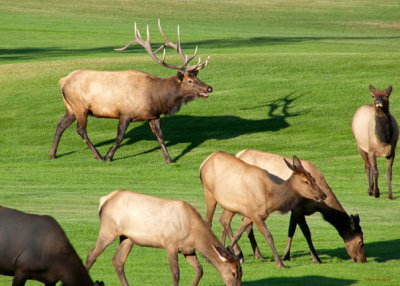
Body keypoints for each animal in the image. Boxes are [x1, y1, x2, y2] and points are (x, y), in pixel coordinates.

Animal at [49, 19, 212, 163]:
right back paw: (99, 156)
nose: (209, 88)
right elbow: (120, 137)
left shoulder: (153, 116)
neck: (155, 98)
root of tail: (63, 81)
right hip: (80, 106)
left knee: (60, 125)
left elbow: (161, 137)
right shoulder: (125, 113)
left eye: (197, 77)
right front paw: (109, 157)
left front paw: (169, 159)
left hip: (70, 108)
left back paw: (53, 154)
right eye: (190, 81)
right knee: (80, 130)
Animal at [86, 190, 242, 286]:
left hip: (127, 238)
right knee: (91, 254)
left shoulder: (188, 249)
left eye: (241, 272)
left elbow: (199, 270)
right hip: (108, 229)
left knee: (117, 260)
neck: (194, 234)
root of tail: (104, 200)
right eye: (233, 273)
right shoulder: (170, 243)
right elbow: (176, 273)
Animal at [198, 152, 326, 268]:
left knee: (223, 220)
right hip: (209, 193)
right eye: (305, 181)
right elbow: (268, 236)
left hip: (230, 205)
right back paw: (208, 259)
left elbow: (239, 233)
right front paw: (280, 263)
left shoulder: (251, 214)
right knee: (208, 222)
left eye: (313, 178)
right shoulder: (255, 214)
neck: (271, 199)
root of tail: (204, 163)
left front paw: (229, 251)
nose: (323, 195)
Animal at [233, 150, 368, 264]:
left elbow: (291, 230)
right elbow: (306, 232)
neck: (319, 206)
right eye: (360, 241)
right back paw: (239, 254)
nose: (363, 260)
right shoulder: (298, 208)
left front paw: (286, 256)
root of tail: (238, 154)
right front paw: (316, 259)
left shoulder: (295, 210)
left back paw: (258, 254)